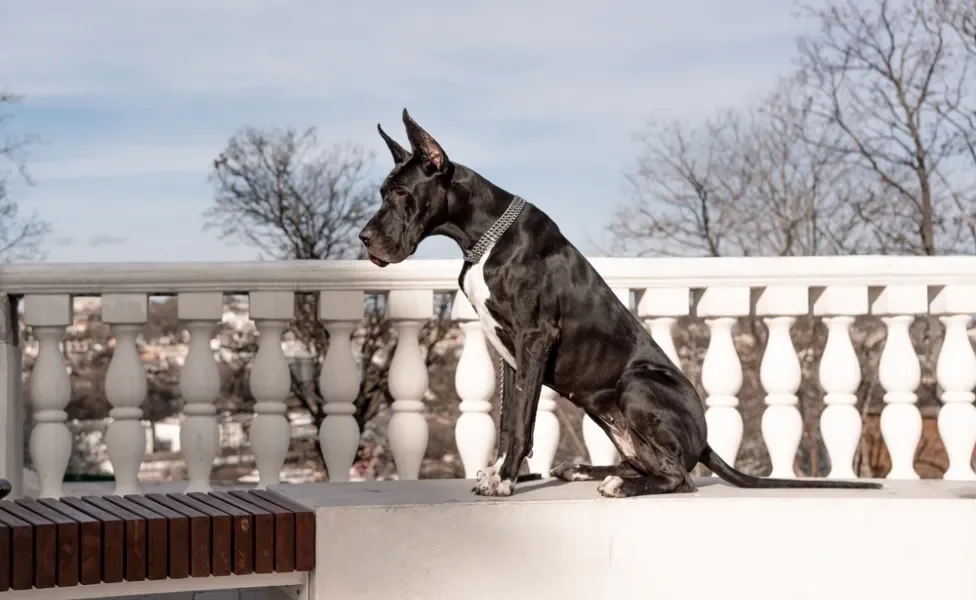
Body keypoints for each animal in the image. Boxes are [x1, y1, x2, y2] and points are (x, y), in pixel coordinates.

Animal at [360, 109, 884, 496]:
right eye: (383, 192)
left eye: (402, 193)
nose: (364, 238)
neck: (482, 236)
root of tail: (704, 440)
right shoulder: (509, 352)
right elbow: (510, 419)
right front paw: (497, 471)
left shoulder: (534, 337)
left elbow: (524, 421)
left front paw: (505, 480)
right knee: (648, 461)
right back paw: (589, 470)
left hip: (636, 384)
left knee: (679, 477)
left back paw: (619, 484)